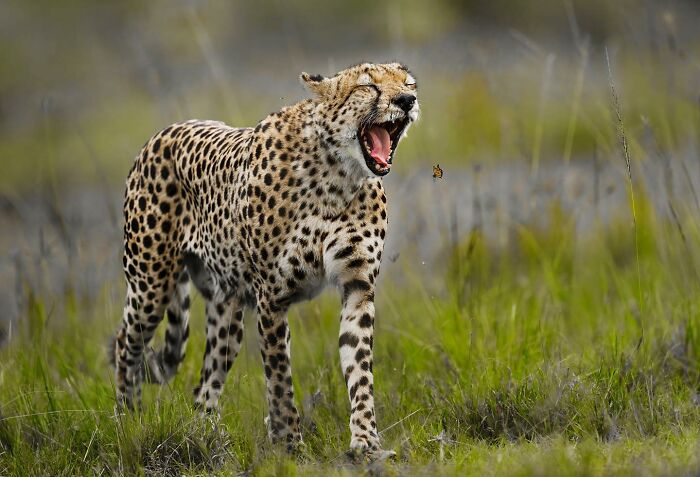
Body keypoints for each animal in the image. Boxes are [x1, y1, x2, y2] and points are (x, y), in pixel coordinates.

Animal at [110, 62, 419, 459]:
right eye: (368, 86)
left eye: (408, 83)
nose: (407, 100)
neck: (338, 177)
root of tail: (166, 131)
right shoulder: (271, 296)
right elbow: (279, 377)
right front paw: (290, 445)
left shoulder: (357, 286)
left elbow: (359, 368)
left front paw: (365, 441)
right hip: (151, 287)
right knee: (125, 341)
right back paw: (127, 418)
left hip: (227, 314)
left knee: (205, 385)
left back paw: (207, 437)